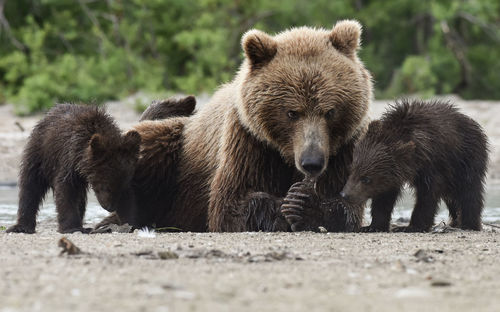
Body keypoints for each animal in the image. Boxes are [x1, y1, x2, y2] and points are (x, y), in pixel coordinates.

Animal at [6, 105, 141, 234]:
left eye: (119, 188)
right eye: (105, 186)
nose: (110, 207)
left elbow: (129, 197)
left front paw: (129, 223)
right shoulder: (68, 161)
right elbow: (66, 191)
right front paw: (71, 227)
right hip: (39, 154)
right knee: (30, 186)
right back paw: (22, 226)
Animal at [124, 19, 376, 230]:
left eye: (330, 111)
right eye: (292, 113)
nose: (311, 162)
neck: (285, 155)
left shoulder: (344, 149)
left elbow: (347, 206)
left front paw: (307, 204)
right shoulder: (249, 141)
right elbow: (230, 205)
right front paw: (287, 204)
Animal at [340, 98, 488, 233]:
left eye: (366, 179)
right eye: (351, 170)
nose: (344, 195)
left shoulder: (433, 164)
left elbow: (427, 196)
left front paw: (410, 227)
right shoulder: (393, 173)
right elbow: (384, 198)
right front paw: (372, 226)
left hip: (467, 159)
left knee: (469, 192)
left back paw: (469, 224)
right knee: (452, 196)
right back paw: (455, 221)